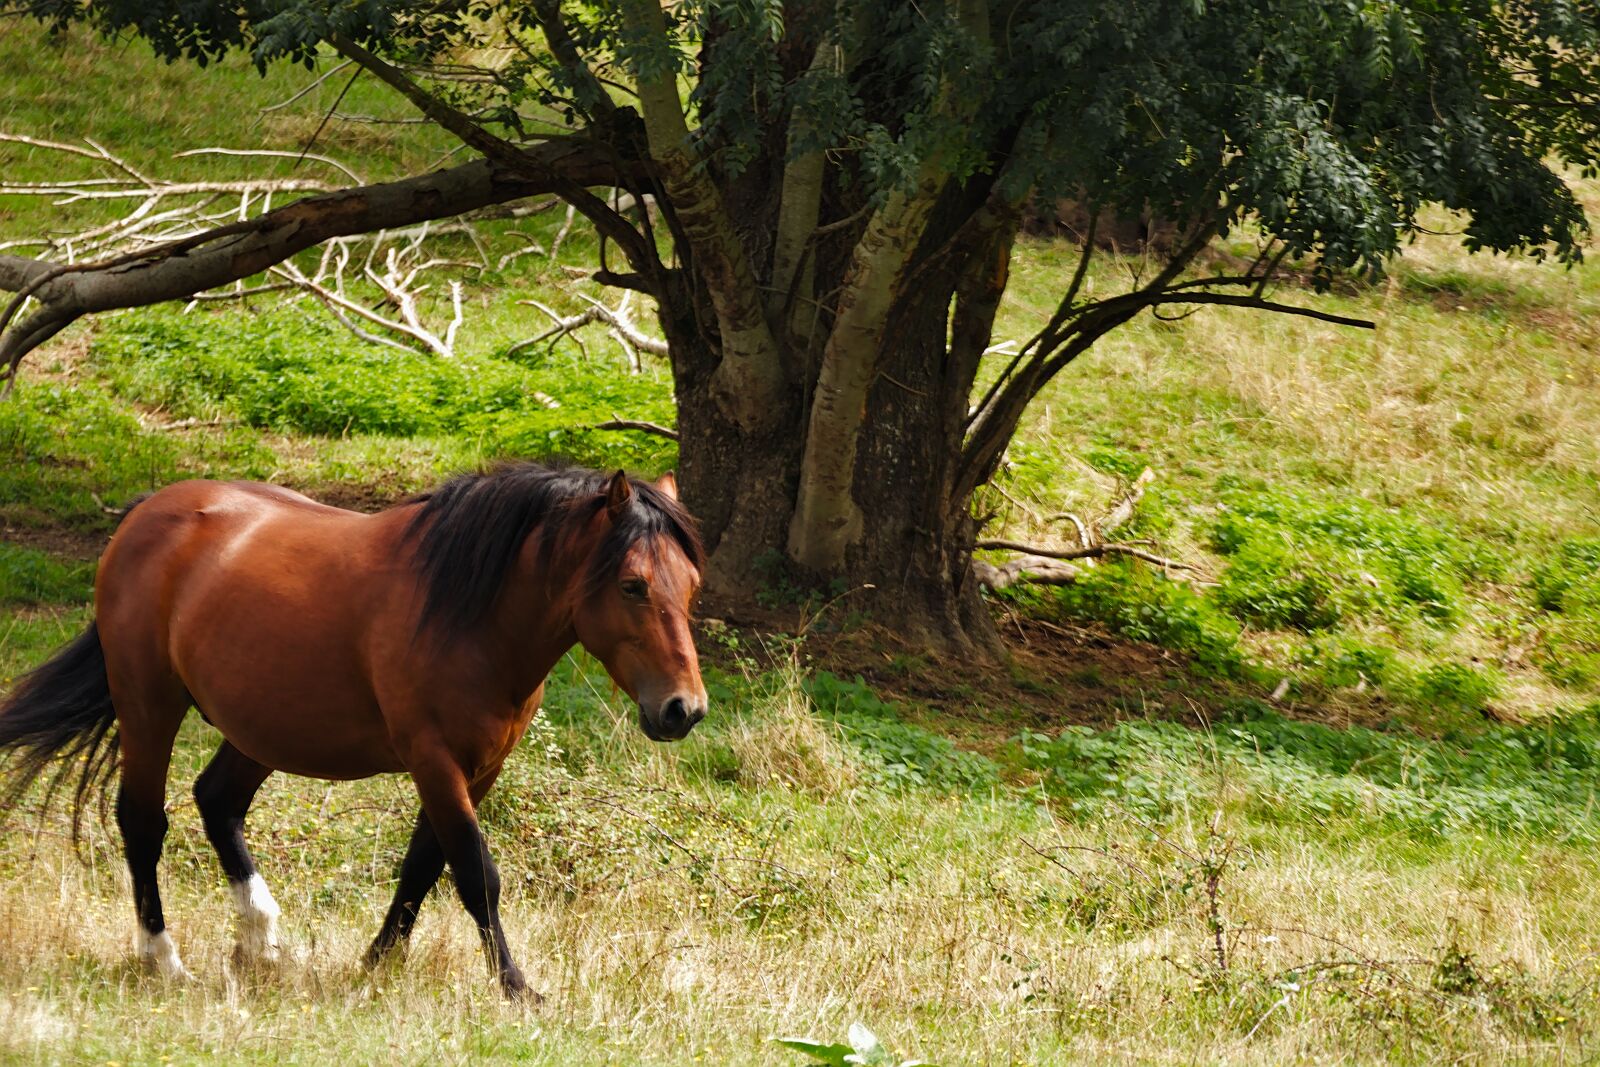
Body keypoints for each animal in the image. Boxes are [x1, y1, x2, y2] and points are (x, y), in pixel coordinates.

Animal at [0, 463, 707, 998]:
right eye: (633, 585)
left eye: (692, 585)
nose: (685, 709)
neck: (469, 613)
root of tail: (147, 515)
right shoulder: (434, 759)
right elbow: (475, 873)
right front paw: (515, 986)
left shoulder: (481, 767)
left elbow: (423, 865)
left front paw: (376, 964)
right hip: (150, 704)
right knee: (144, 822)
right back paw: (164, 960)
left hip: (263, 725)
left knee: (216, 801)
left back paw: (260, 939)